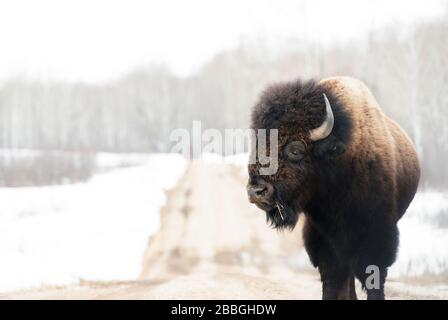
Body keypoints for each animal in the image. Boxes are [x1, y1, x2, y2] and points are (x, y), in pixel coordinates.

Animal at [248, 76, 420, 298]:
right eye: (258, 145)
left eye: (295, 150)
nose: (257, 191)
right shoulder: (322, 239)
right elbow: (333, 280)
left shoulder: (377, 233)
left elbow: (373, 277)